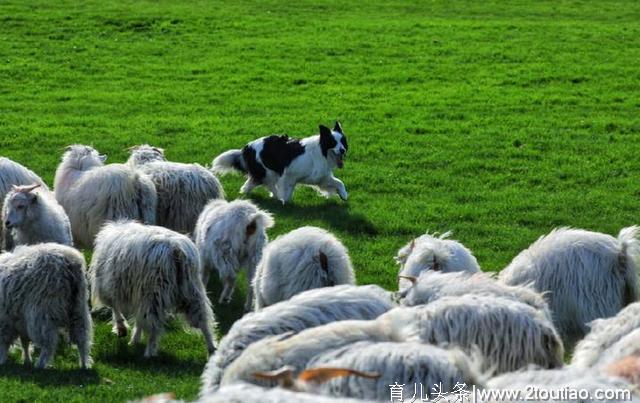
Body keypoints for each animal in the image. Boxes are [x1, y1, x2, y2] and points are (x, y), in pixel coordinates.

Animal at [89, 223, 215, 358]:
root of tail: (176, 249)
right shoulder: (135, 293)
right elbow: (137, 318)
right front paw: (134, 339)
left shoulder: (110, 286)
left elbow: (115, 308)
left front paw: (122, 329)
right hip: (192, 291)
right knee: (202, 320)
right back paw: (212, 348)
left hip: (154, 293)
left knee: (154, 325)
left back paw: (149, 352)